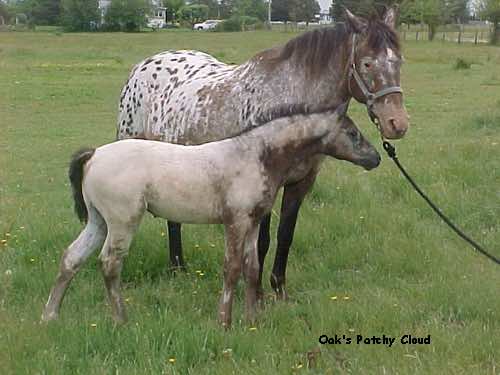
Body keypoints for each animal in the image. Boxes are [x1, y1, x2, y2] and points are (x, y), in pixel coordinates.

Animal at [43, 104, 378, 328]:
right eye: (352, 132)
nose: (375, 158)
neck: (254, 156)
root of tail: (95, 154)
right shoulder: (236, 222)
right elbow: (231, 269)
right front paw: (224, 322)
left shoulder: (253, 223)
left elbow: (251, 268)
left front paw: (253, 320)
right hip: (122, 222)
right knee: (110, 263)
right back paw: (122, 320)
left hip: (98, 221)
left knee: (71, 258)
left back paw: (50, 316)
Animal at [116, 8, 410, 300]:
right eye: (367, 63)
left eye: (399, 62)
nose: (397, 124)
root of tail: (144, 66)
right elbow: (261, 240)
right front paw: (256, 293)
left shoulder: (300, 183)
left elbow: (285, 234)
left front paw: (279, 290)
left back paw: (178, 268)